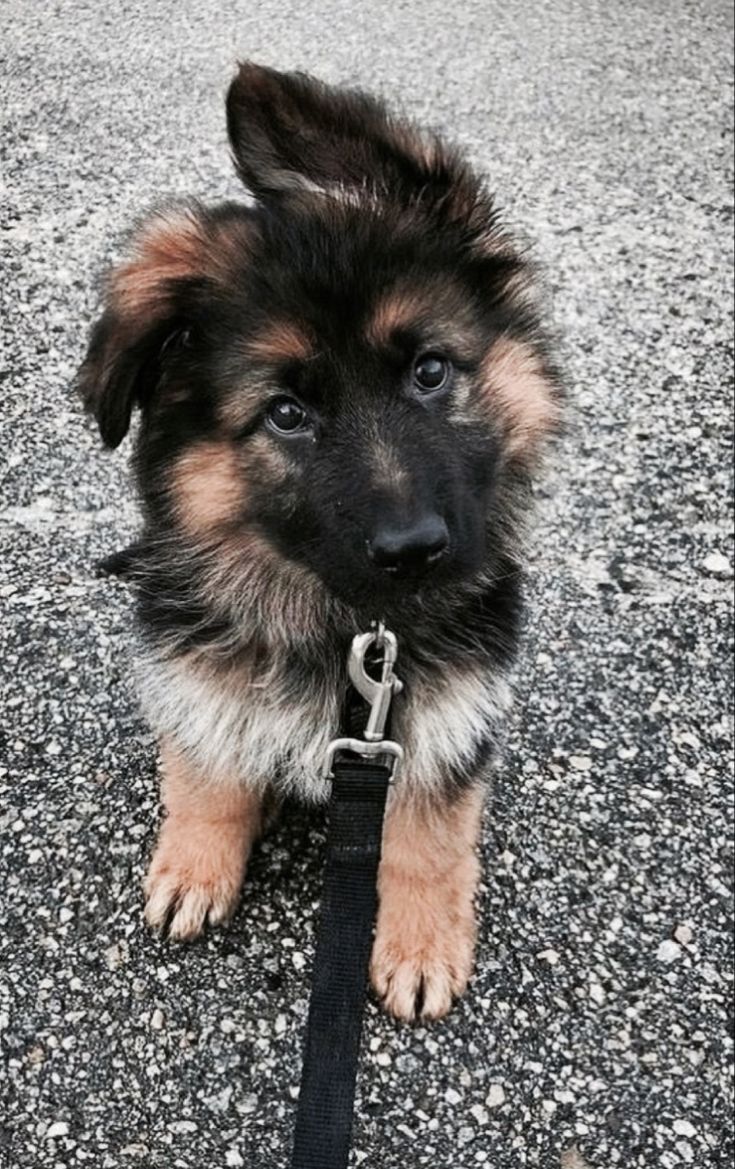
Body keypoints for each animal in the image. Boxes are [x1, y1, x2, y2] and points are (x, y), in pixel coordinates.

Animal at [75, 64, 556, 1024]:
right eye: (287, 414)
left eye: (429, 370)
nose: (414, 550)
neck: (342, 624)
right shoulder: (194, 670)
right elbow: (204, 774)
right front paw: (196, 862)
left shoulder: (445, 714)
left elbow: (429, 835)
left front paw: (418, 942)